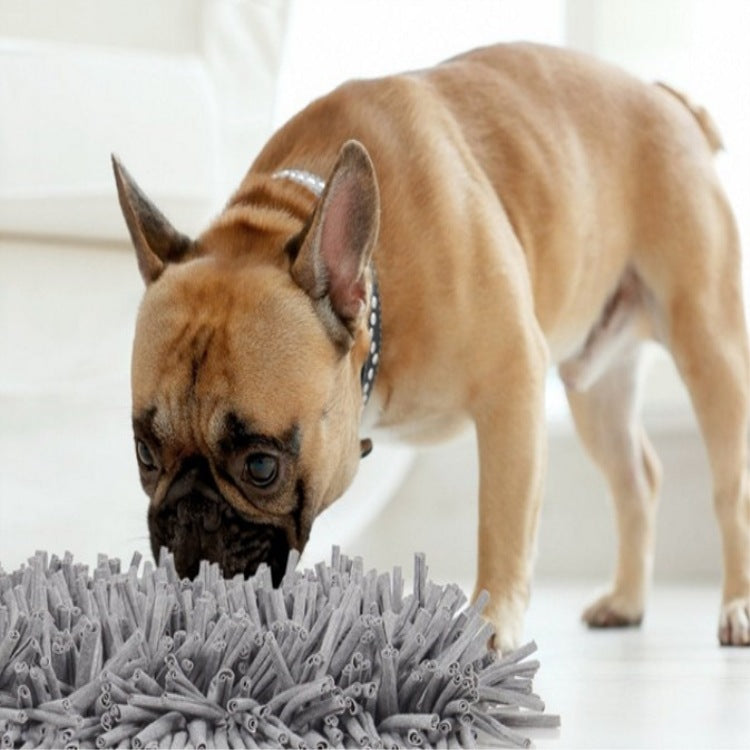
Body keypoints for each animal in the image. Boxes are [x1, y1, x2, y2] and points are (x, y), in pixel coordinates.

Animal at [113, 42, 750, 652]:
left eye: (262, 466)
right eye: (144, 454)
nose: (189, 516)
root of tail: (670, 100)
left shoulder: (513, 387)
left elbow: (502, 522)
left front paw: (489, 628)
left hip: (709, 343)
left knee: (728, 487)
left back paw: (736, 606)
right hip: (596, 392)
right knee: (636, 480)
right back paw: (627, 601)